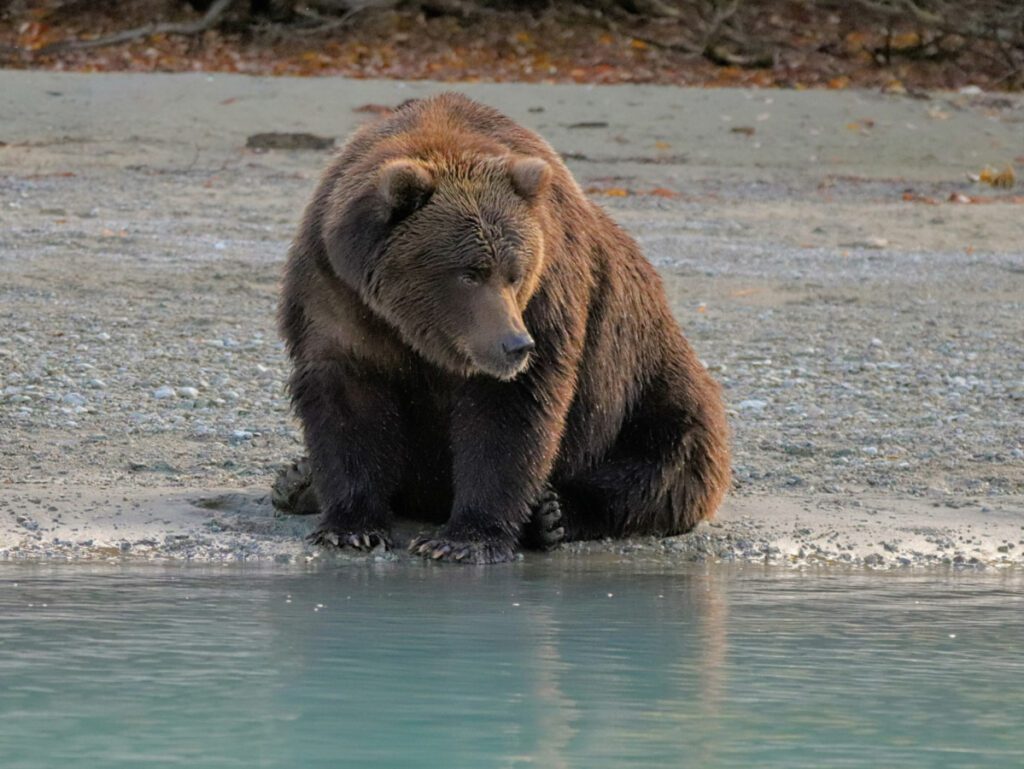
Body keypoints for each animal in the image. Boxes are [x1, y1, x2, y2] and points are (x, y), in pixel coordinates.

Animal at [276, 91, 733, 565]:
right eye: (469, 273)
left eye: (514, 273)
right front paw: (351, 527)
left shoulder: (548, 294)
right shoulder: (337, 295)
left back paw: (552, 514)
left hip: (644, 385)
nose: (515, 344)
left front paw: (463, 539)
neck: (413, 330)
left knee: (668, 457)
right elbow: (348, 401)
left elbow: (509, 414)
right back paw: (297, 482)